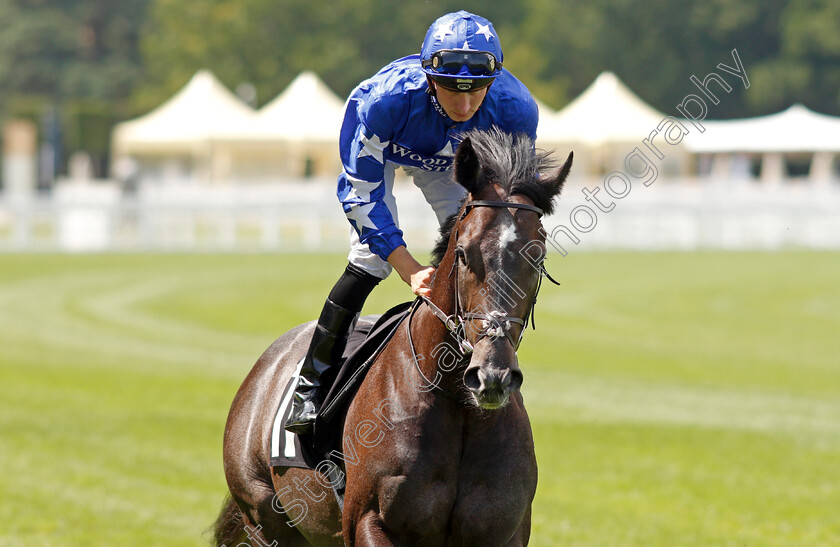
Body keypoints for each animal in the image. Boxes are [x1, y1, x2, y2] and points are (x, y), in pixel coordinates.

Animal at [213, 127, 576, 544]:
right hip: (263, 517)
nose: (492, 376)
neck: (457, 405)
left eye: (538, 257)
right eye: (464, 253)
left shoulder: (505, 531)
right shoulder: (369, 521)